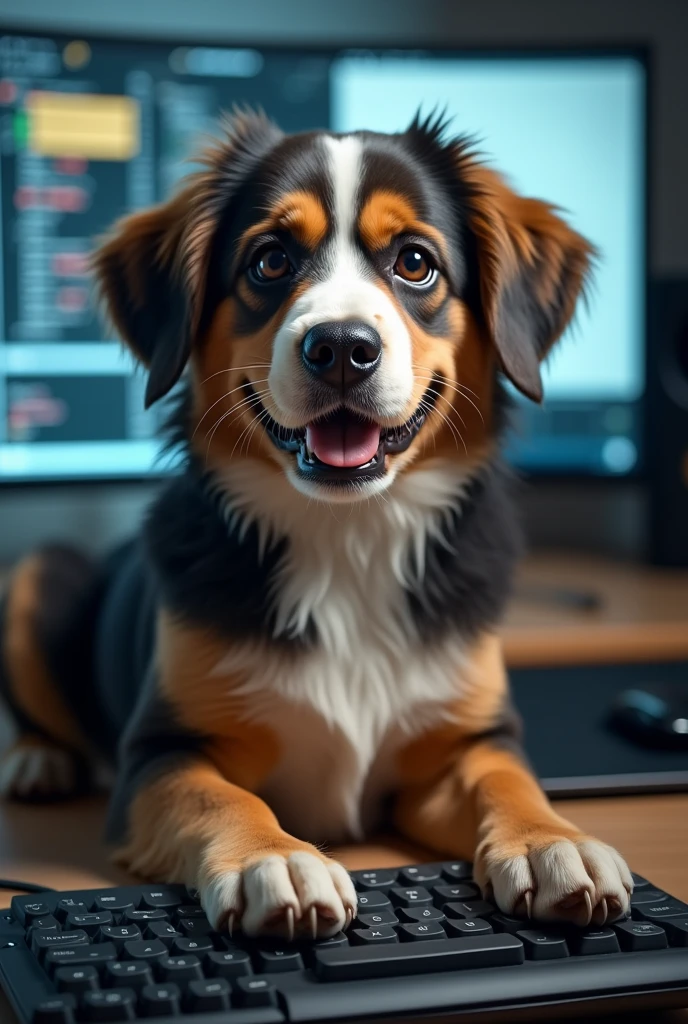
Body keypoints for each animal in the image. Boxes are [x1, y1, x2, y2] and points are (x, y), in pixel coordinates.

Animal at [0, 110, 634, 937]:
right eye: (270, 260)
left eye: (416, 262)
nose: (340, 348)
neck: (349, 538)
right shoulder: (163, 750)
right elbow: (221, 796)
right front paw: (276, 859)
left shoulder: (465, 737)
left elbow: (507, 779)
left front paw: (553, 841)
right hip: (37, 574)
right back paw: (36, 759)